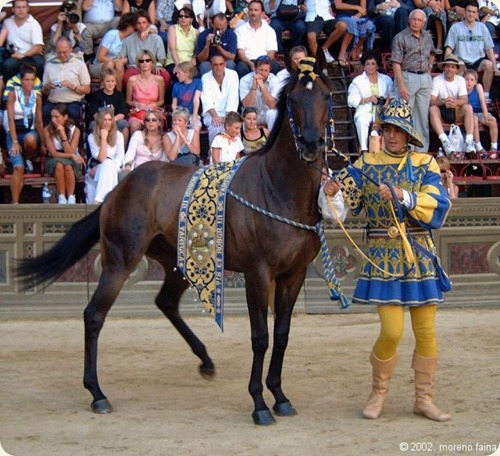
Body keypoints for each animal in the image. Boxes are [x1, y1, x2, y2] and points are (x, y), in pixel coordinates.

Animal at [15, 56, 336, 424]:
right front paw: (258, 403)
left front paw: (280, 396)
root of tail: (116, 191)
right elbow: (260, 337)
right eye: (294, 100)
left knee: (166, 302)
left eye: (326, 96)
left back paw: (205, 361)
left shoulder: (293, 274)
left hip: (179, 262)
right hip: (120, 261)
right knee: (94, 314)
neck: (277, 189)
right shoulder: (258, 272)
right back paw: (97, 393)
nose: (311, 143)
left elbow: (282, 335)